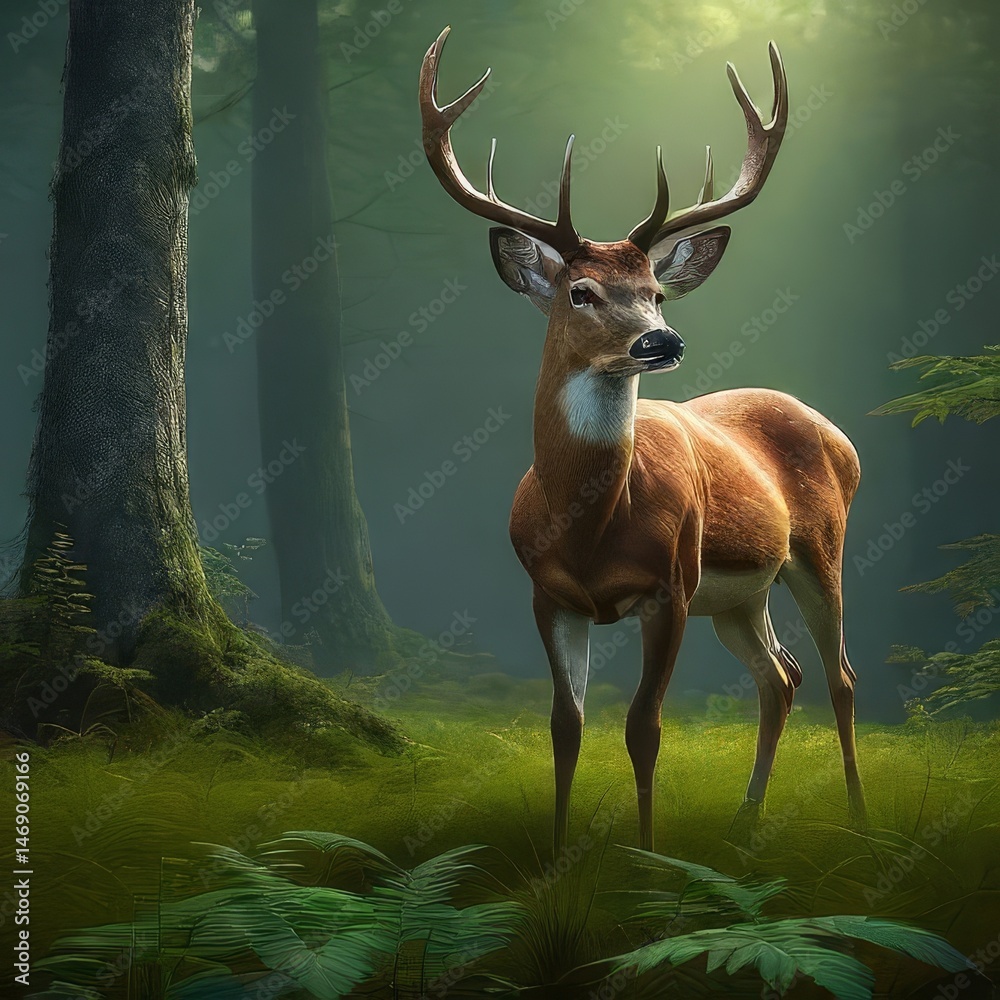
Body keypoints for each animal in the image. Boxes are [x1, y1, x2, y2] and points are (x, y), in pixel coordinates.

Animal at [419, 26, 867, 853]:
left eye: (656, 292)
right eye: (580, 291)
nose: (662, 340)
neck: (591, 525)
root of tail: (839, 433)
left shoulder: (671, 586)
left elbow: (643, 728)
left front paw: (649, 855)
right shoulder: (546, 593)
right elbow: (565, 726)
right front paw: (558, 853)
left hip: (818, 549)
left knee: (840, 675)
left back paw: (856, 814)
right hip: (740, 595)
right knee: (780, 677)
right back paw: (745, 817)